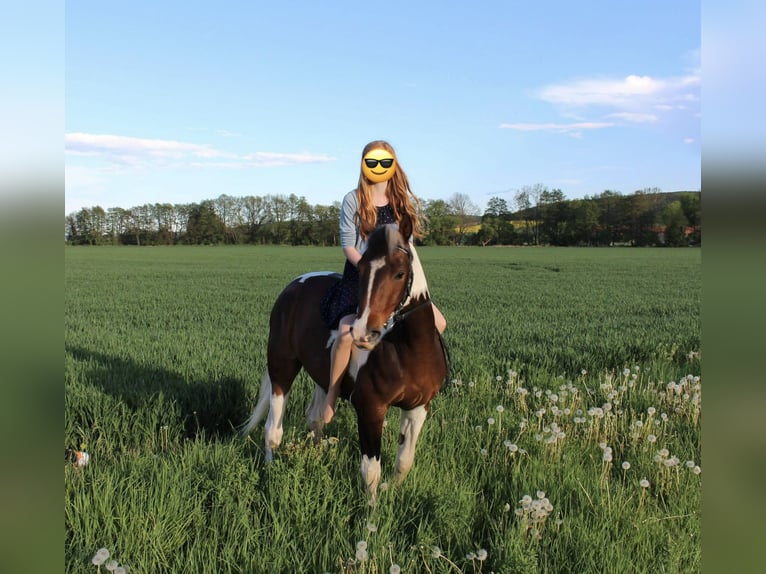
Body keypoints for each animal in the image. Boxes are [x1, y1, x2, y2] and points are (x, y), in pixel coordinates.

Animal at [241, 214, 448, 502]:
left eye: (399, 273)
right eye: (361, 270)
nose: (363, 332)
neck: (407, 349)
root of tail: (294, 285)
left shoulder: (418, 407)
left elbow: (404, 461)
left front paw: (391, 493)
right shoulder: (371, 410)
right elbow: (371, 470)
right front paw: (371, 512)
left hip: (321, 377)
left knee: (315, 418)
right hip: (281, 367)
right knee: (273, 429)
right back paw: (269, 474)